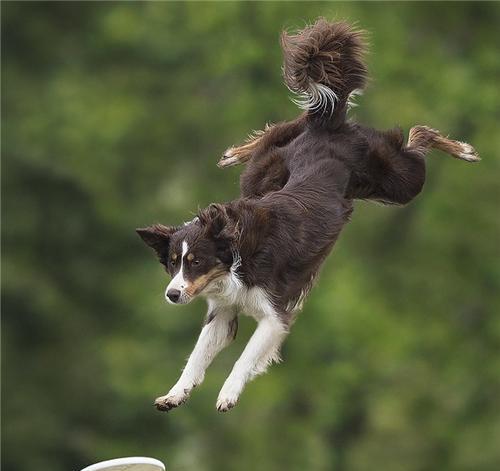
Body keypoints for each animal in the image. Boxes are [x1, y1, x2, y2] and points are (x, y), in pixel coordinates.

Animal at [135, 19, 478, 412]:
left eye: (195, 262)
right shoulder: (223, 310)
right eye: (173, 262)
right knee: (285, 125)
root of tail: (327, 129)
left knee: (417, 135)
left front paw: (227, 395)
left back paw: (463, 150)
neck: (236, 254)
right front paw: (174, 394)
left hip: (400, 183)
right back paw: (235, 152)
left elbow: (243, 358)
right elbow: (196, 356)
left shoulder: (274, 315)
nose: (172, 294)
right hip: (262, 175)